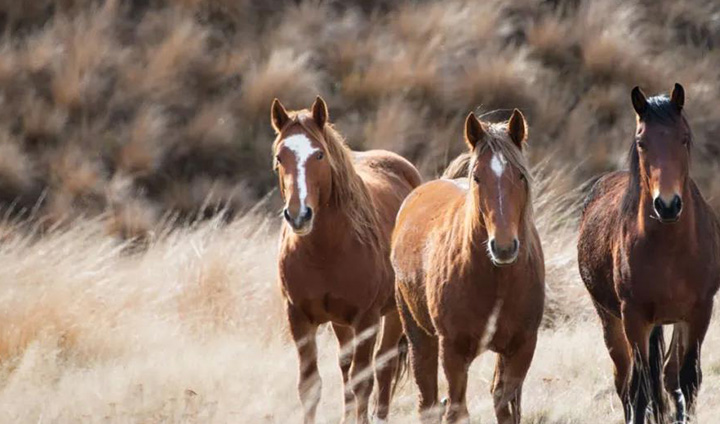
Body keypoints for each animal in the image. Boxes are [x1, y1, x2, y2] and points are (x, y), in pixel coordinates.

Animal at [272, 97, 422, 424]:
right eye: (279, 157)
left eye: (318, 154)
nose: (299, 215)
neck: (325, 251)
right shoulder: (298, 317)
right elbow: (310, 385)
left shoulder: (366, 319)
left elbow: (363, 381)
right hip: (340, 323)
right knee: (346, 366)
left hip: (392, 313)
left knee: (383, 367)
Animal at [390, 110, 544, 424]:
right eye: (477, 177)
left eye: (520, 175)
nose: (504, 246)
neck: (498, 279)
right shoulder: (453, 350)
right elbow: (456, 409)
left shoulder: (522, 347)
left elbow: (506, 406)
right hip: (419, 337)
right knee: (429, 402)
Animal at [580, 83, 720, 424]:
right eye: (642, 142)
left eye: (684, 138)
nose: (667, 205)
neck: (669, 250)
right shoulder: (634, 318)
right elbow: (640, 388)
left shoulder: (700, 311)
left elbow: (687, 379)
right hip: (611, 321)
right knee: (625, 381)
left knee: (668, 376)